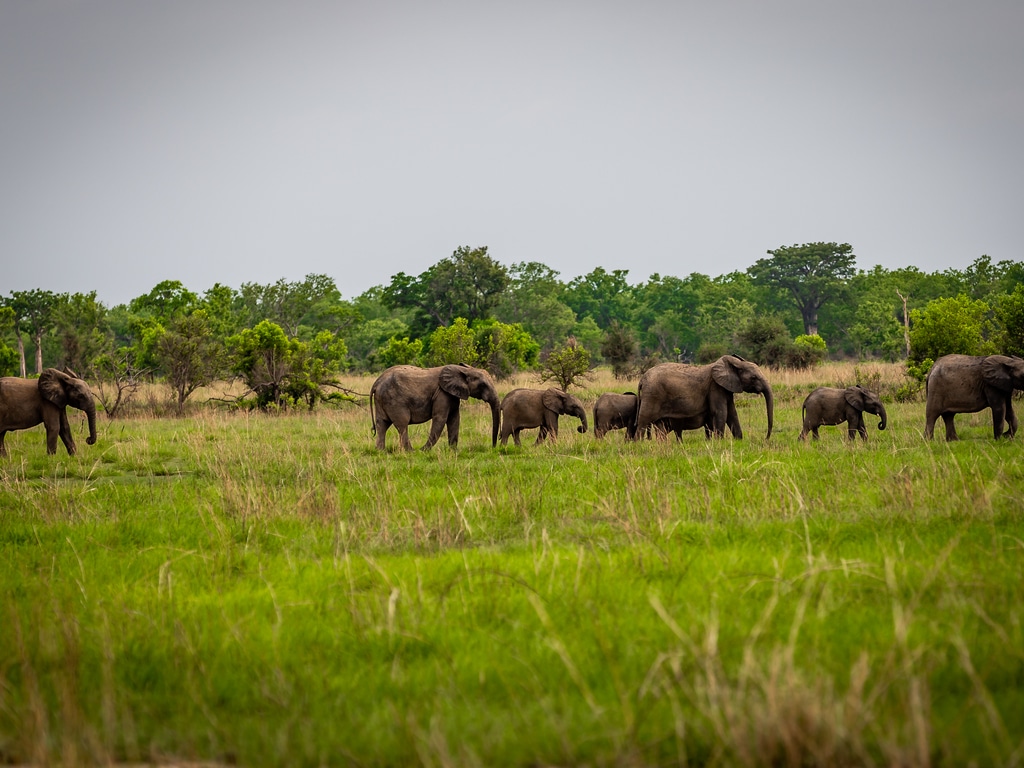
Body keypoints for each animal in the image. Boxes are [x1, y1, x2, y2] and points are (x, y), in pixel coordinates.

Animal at [370, 364, 501, 450]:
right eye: (483, 385)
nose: (494, 447)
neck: (463, 369)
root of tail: (376, 383)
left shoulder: (452, 394)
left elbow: (454, 419)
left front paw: (453, 451)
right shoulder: (442, 394)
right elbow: (441, 418)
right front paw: (424, 451)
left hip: (382, 399)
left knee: (382, 424)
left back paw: (381, 451)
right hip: (394, 401)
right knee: (402, 424)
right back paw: (410, 451)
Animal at [634, 354, 770, 438]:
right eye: (754, 377)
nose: (766, 438)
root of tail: (642, 380)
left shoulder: (726, 388)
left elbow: (732, 413)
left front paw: (738, 441)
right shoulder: (715, 387)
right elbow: (721, 412)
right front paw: (720, 442)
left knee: (659, 427)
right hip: (652, 396)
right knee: (643, 422)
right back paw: (639, 444)